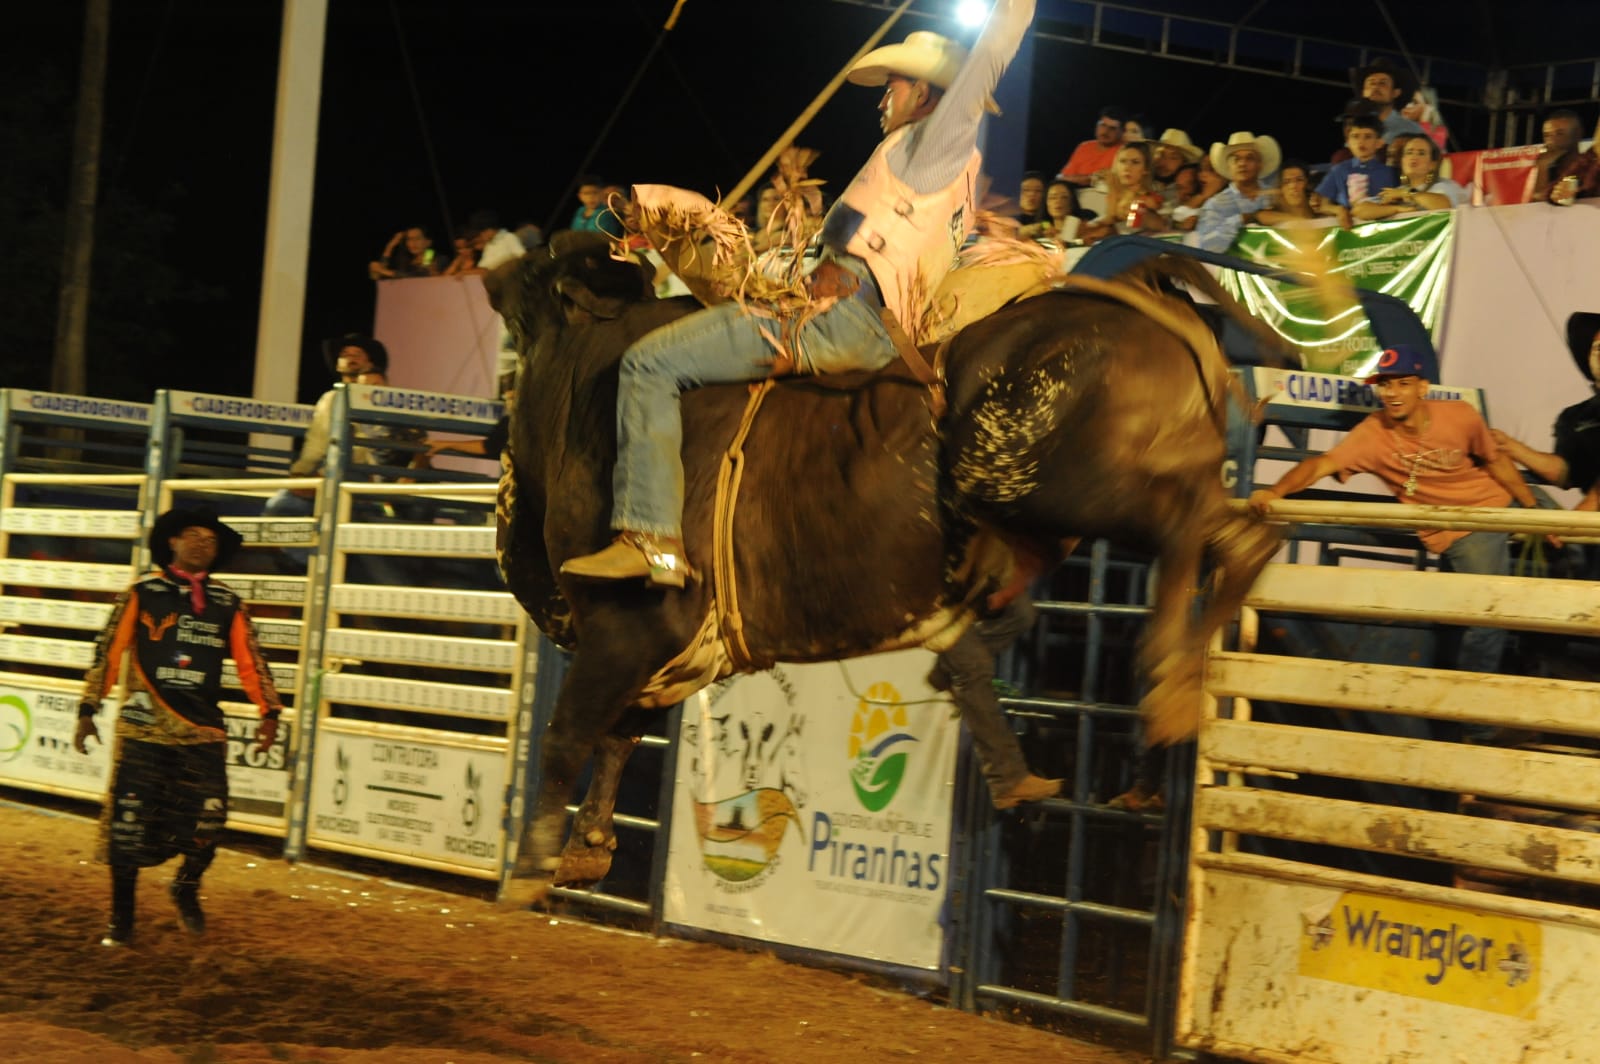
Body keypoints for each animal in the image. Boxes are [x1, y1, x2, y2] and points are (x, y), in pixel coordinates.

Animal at [489, 232, 1299, 902]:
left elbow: (570, 734)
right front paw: (587, 849)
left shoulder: (632, 625)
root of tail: (1132, 293)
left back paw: (1166, 681)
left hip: (1049, 479)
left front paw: (530, 867)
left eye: (542, 268)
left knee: (1184, 527)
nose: (496, 265)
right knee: (1236, 534)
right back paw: (1173, 689)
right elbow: (618, 733)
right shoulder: (670, 651)